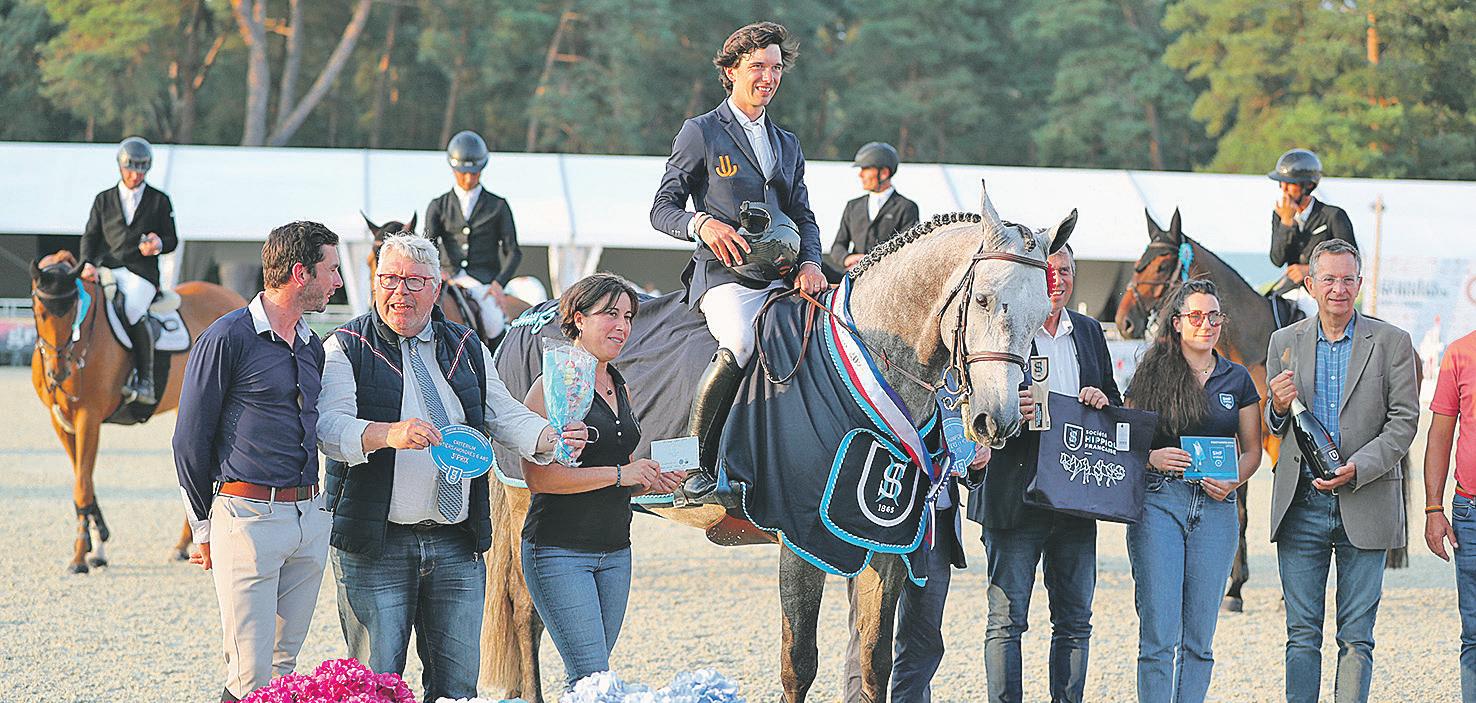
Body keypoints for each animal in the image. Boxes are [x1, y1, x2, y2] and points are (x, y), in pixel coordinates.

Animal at [30, 251, 245, 574]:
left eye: (73, 311)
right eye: (39, 309)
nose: (58, 372)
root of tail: (235, 298)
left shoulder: (88, 418)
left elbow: (82, 485)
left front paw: (80, 557)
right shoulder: (62, 421)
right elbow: (85, 480)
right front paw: (98, 546)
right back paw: (183, 545)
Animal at [479, 183, 1076, 702]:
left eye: (1039, 313)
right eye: (984, 300)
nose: (997, 421)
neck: (869, 356)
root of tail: (525, 319)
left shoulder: (883, 545)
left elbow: (873, 663)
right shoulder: (799, 535)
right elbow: (799, 663)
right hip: (530, 495)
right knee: (527, 611)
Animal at [1114, 209, 1408, 612]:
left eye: (1161, 265)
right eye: (1138, 264)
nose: (1124, 322)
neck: (1249, 345)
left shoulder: (1274, 444)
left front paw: (1284, 591)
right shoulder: (1239, 440)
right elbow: (1240, 511)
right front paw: (1235, 589)